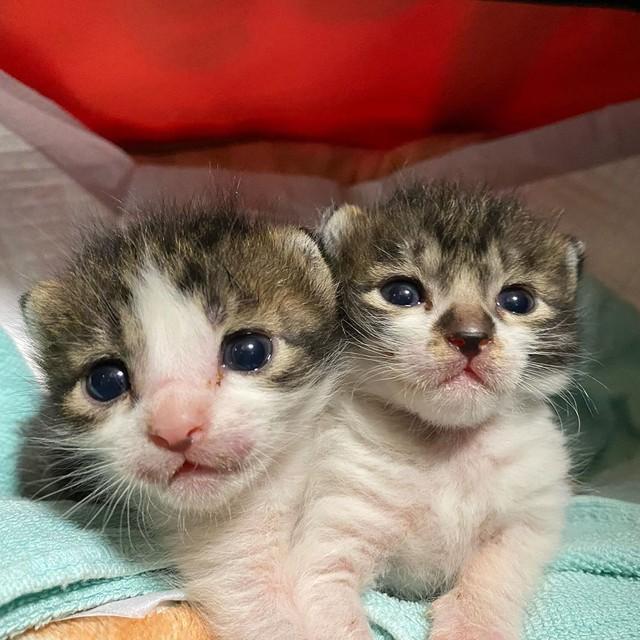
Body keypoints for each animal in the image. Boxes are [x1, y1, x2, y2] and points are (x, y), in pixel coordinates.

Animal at [280, 182, 580, 640]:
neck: (446, 444)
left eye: (518, 300)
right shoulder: (334, 527)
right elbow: (326, 595)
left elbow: (497, 571)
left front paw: (473, 624)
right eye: (401, 293)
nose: (470, 336)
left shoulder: (529, 519)